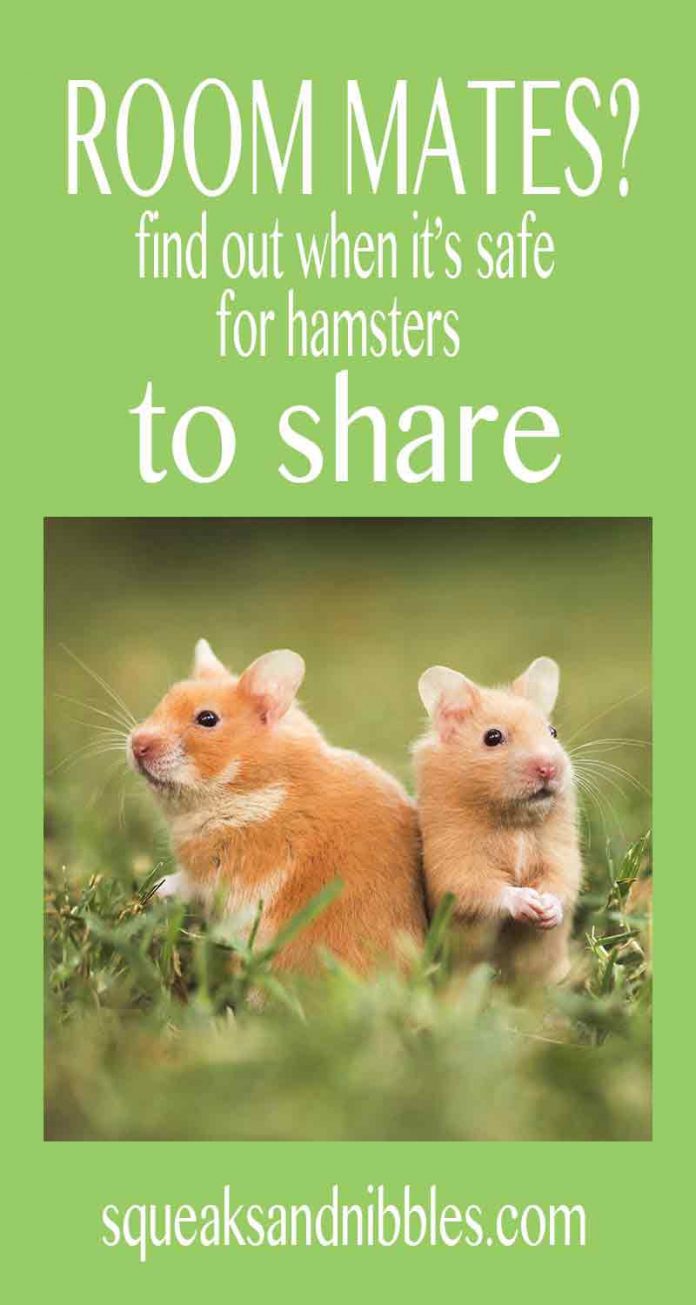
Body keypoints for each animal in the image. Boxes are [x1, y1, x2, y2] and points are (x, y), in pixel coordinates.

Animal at [128, 639, 426, 975]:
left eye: (207, 719)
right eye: (165, 700)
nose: (136, 745)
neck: (253, 788)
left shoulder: (216, 874)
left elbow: (185, 883)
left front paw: (157, 888)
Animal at [413, 657, 581, 986]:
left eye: (553, 731)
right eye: (493, 737)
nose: (549, 768)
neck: (515, 821)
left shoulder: (560, 852)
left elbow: (563, 880)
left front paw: (547, 909)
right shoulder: (455, 862)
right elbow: (481, 888)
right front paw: (529, 902)